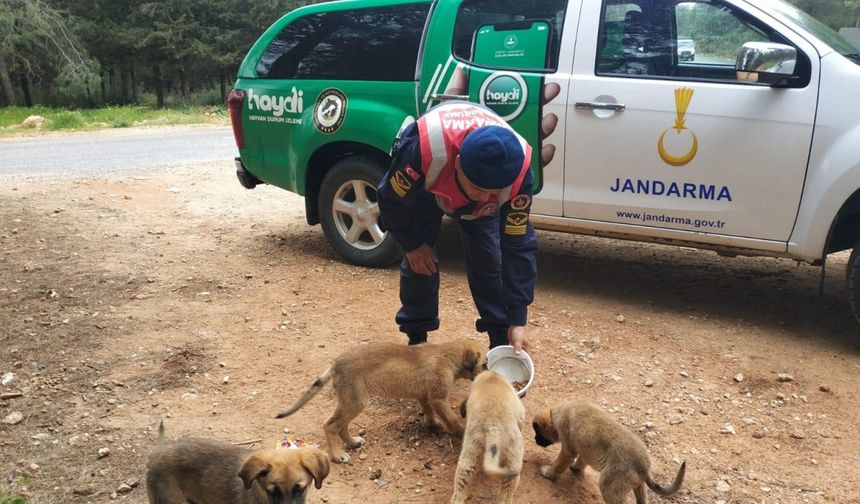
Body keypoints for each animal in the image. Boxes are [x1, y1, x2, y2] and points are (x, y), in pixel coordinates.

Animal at [532, 402, 684, 504]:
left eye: (537, 431)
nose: (535, 440)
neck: (559, 412)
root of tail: (643, 467)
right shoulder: (584, 449)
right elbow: (581, 460)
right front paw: (575, 468)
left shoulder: (568, 450)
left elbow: (558, 465)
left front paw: (548, 473)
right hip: (639, 487)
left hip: (609, 487)